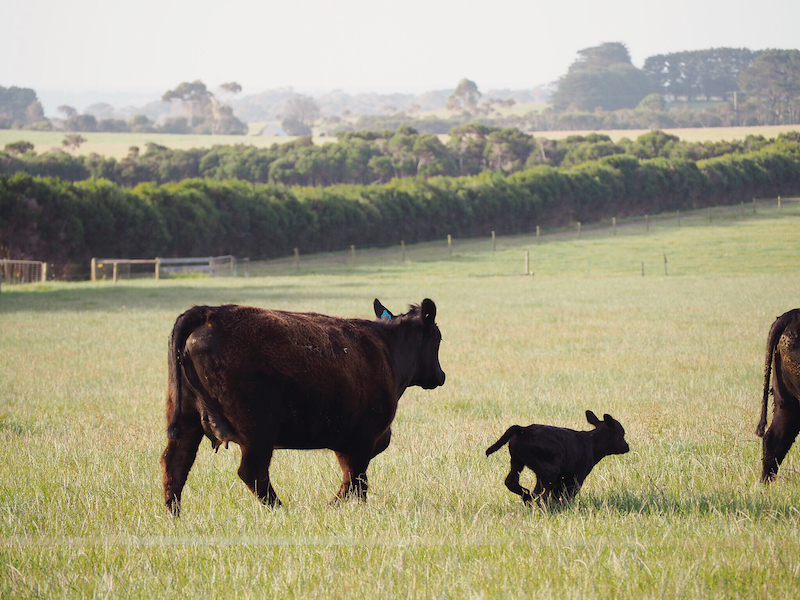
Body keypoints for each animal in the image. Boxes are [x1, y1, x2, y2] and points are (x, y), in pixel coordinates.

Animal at [156, 298, 444, 512]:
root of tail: (208, 313)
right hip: (258, 429)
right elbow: (356, 479)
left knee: (175, 464)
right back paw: (281, 509)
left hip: (187, 421)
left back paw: (173, 514)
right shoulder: (364, 437)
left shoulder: (346, 440)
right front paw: (338, 507)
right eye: (437, 339)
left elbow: (352, 478)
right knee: (252, 472)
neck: (386, 349)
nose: (440, 375)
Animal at [484, 410, 628, 504]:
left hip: (517, 461)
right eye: (622, 434)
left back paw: (527, 496)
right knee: (539, 493)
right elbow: (567, 495)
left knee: (512, 481)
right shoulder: (576, 476)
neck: (592, 443)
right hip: (549, 470)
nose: (627, 447)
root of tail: (523, 429)